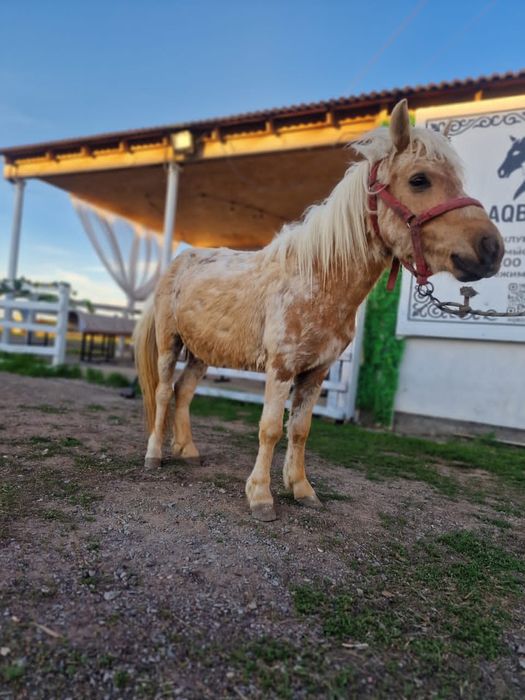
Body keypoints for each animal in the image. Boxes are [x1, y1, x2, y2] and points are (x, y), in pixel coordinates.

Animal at [134, 99, 504, 522]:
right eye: (419, 180)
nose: (491, 248)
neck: (318, 279)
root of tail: (180, 260)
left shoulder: (317, 371)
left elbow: (300, 430)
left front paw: (302, 489)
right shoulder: (281, 368)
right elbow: (270, 428)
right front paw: (260, 497)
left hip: (202, 352)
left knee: (184, 391)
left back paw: (189, 452)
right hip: (170, 343)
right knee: (164, 392)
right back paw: (154, 456)